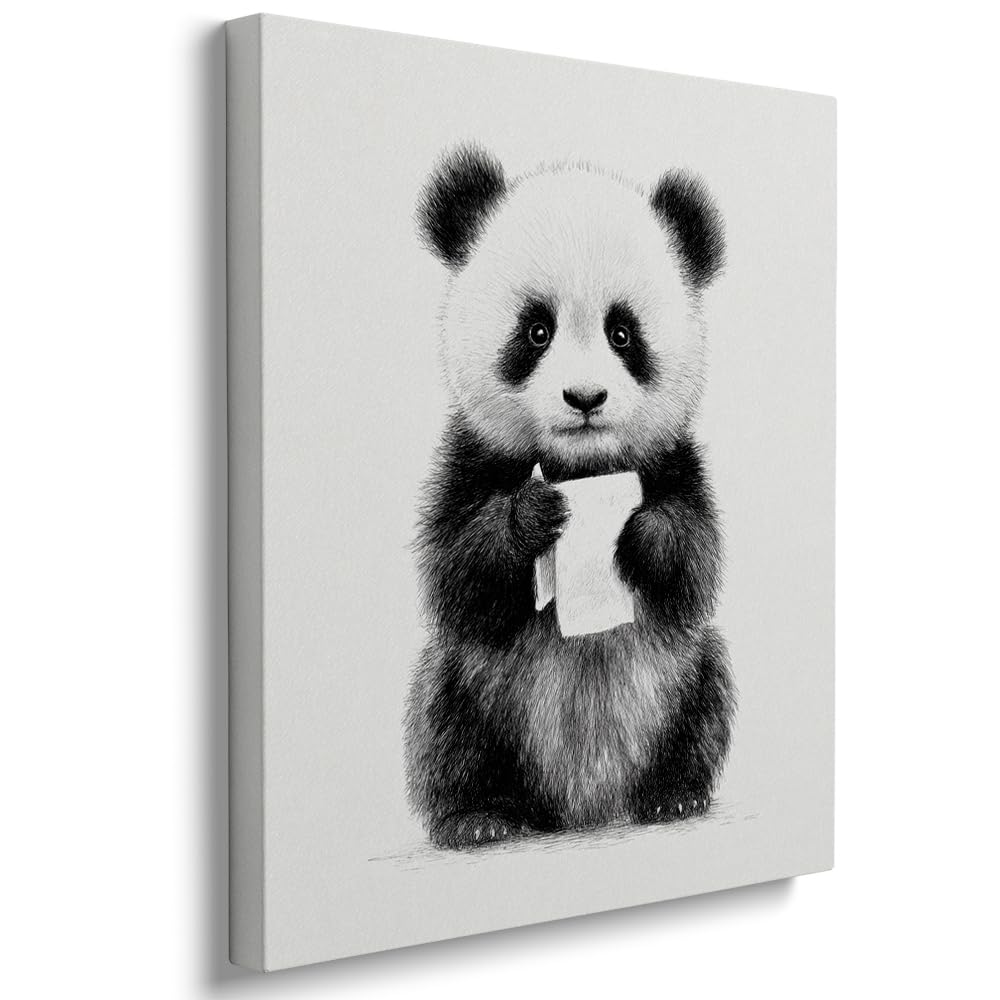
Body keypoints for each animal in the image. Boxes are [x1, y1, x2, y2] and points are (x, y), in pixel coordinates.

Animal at [404, 144, 735, 849]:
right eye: (536, 331)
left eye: (622, 333)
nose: (585, 398)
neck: (581, 468)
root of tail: (581, 808)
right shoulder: (470, 455)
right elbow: (454, 571)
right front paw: (531, 516)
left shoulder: (674, 460)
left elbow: (695, 563)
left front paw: (642, 530)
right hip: (475, 692)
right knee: (446, 722)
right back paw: (479, 817)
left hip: (681, 680)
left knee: (706, 695)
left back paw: (672, 794)